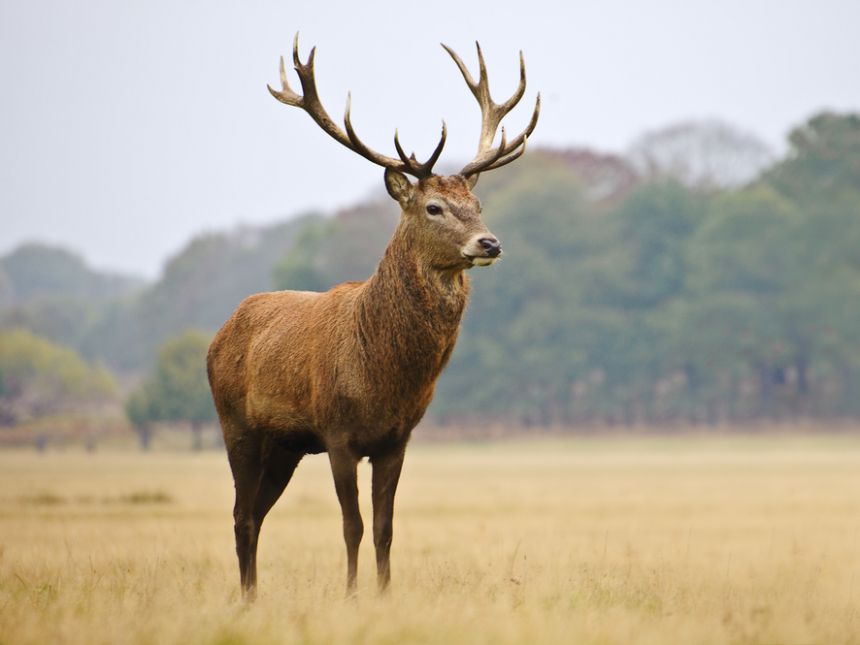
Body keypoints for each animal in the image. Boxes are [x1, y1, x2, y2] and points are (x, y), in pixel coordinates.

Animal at [206, 35, 536, 600]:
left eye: (477, 202)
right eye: (432, 207)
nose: (489, 242)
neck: (382, 376)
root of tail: (220, 332)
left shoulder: (397, 438)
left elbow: (385, 526)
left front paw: (383, 593)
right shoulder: (338, 433)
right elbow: (352, 525)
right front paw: (352, 595)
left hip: (285, 446)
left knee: (256, 513)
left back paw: (253, 595)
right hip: (237, 425)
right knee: (241, 516)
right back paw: (248, 599)